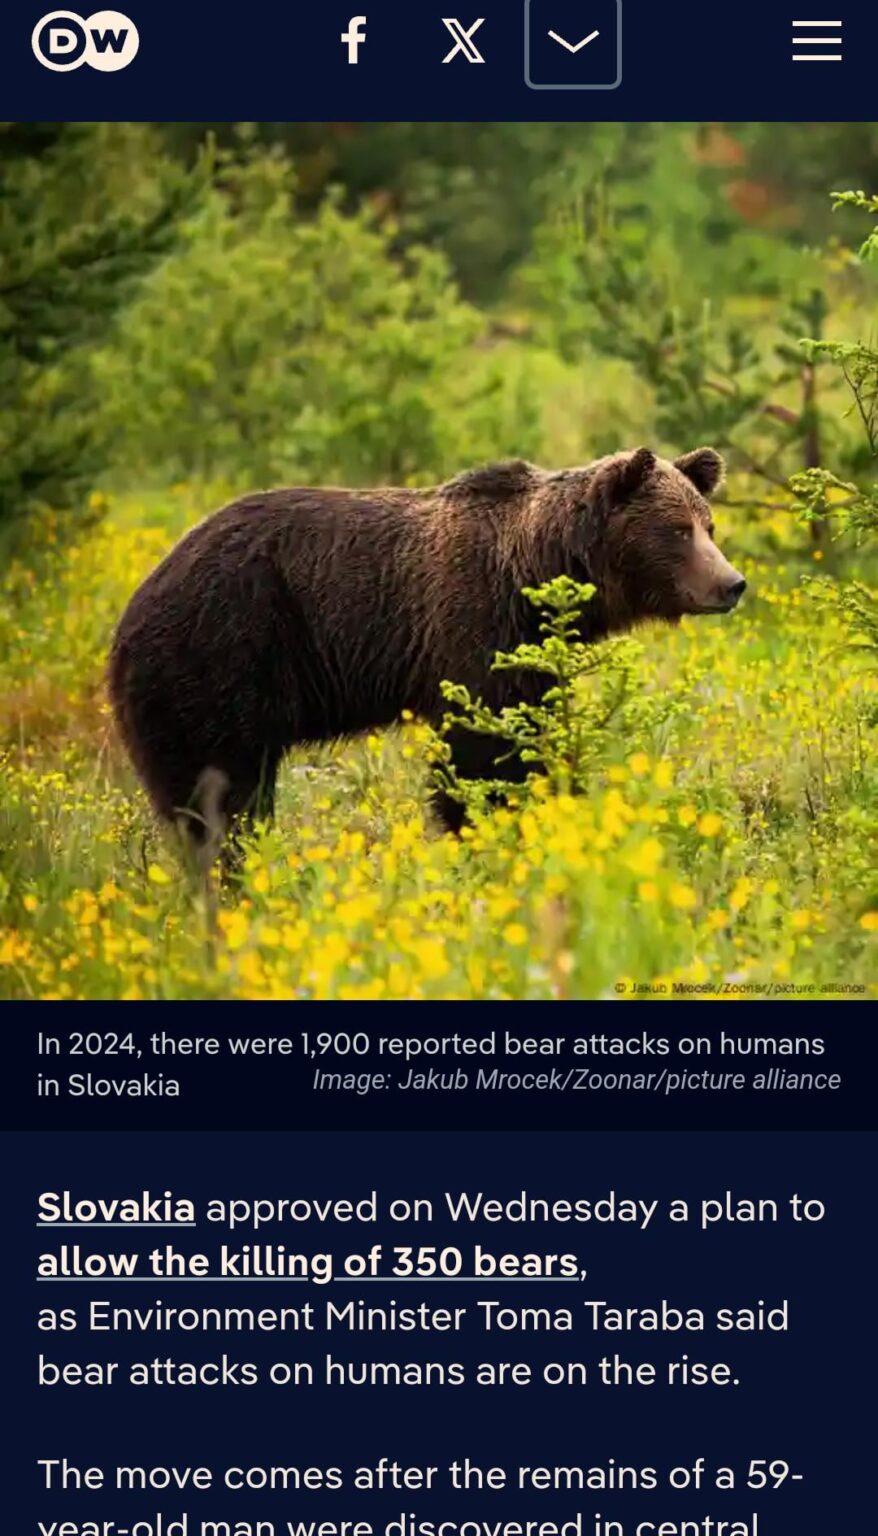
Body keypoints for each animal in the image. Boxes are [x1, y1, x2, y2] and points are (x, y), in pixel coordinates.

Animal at [108, 446, 745, 850]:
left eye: (709, 525)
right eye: (678, 530)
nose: (732, 583)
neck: (538, 573)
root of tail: (132, 606)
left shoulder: (530, 654)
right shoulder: (472, 624)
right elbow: (479, 751)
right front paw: (488, 824)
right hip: (220, 657)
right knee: (217, 793)